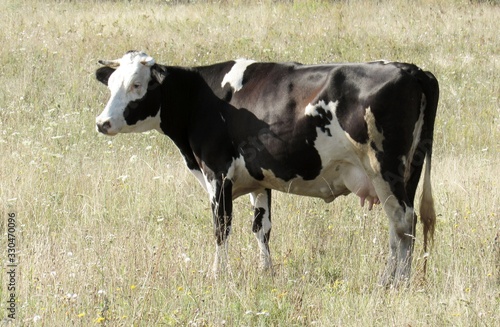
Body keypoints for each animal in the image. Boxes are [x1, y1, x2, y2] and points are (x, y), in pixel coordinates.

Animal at [94, 50, 438, 288]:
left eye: (137, 85)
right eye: (110, 85)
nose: (102, 122)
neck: (201, 98)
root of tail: (410, 69)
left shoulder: (217, 174)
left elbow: (221, 228)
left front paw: (218, 275)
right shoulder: (258, 180)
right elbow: (262, 228)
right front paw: (266, 272)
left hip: (384, 168)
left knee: (402, 222)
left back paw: (394, 282)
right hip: (409, 171)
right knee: (403, 224)